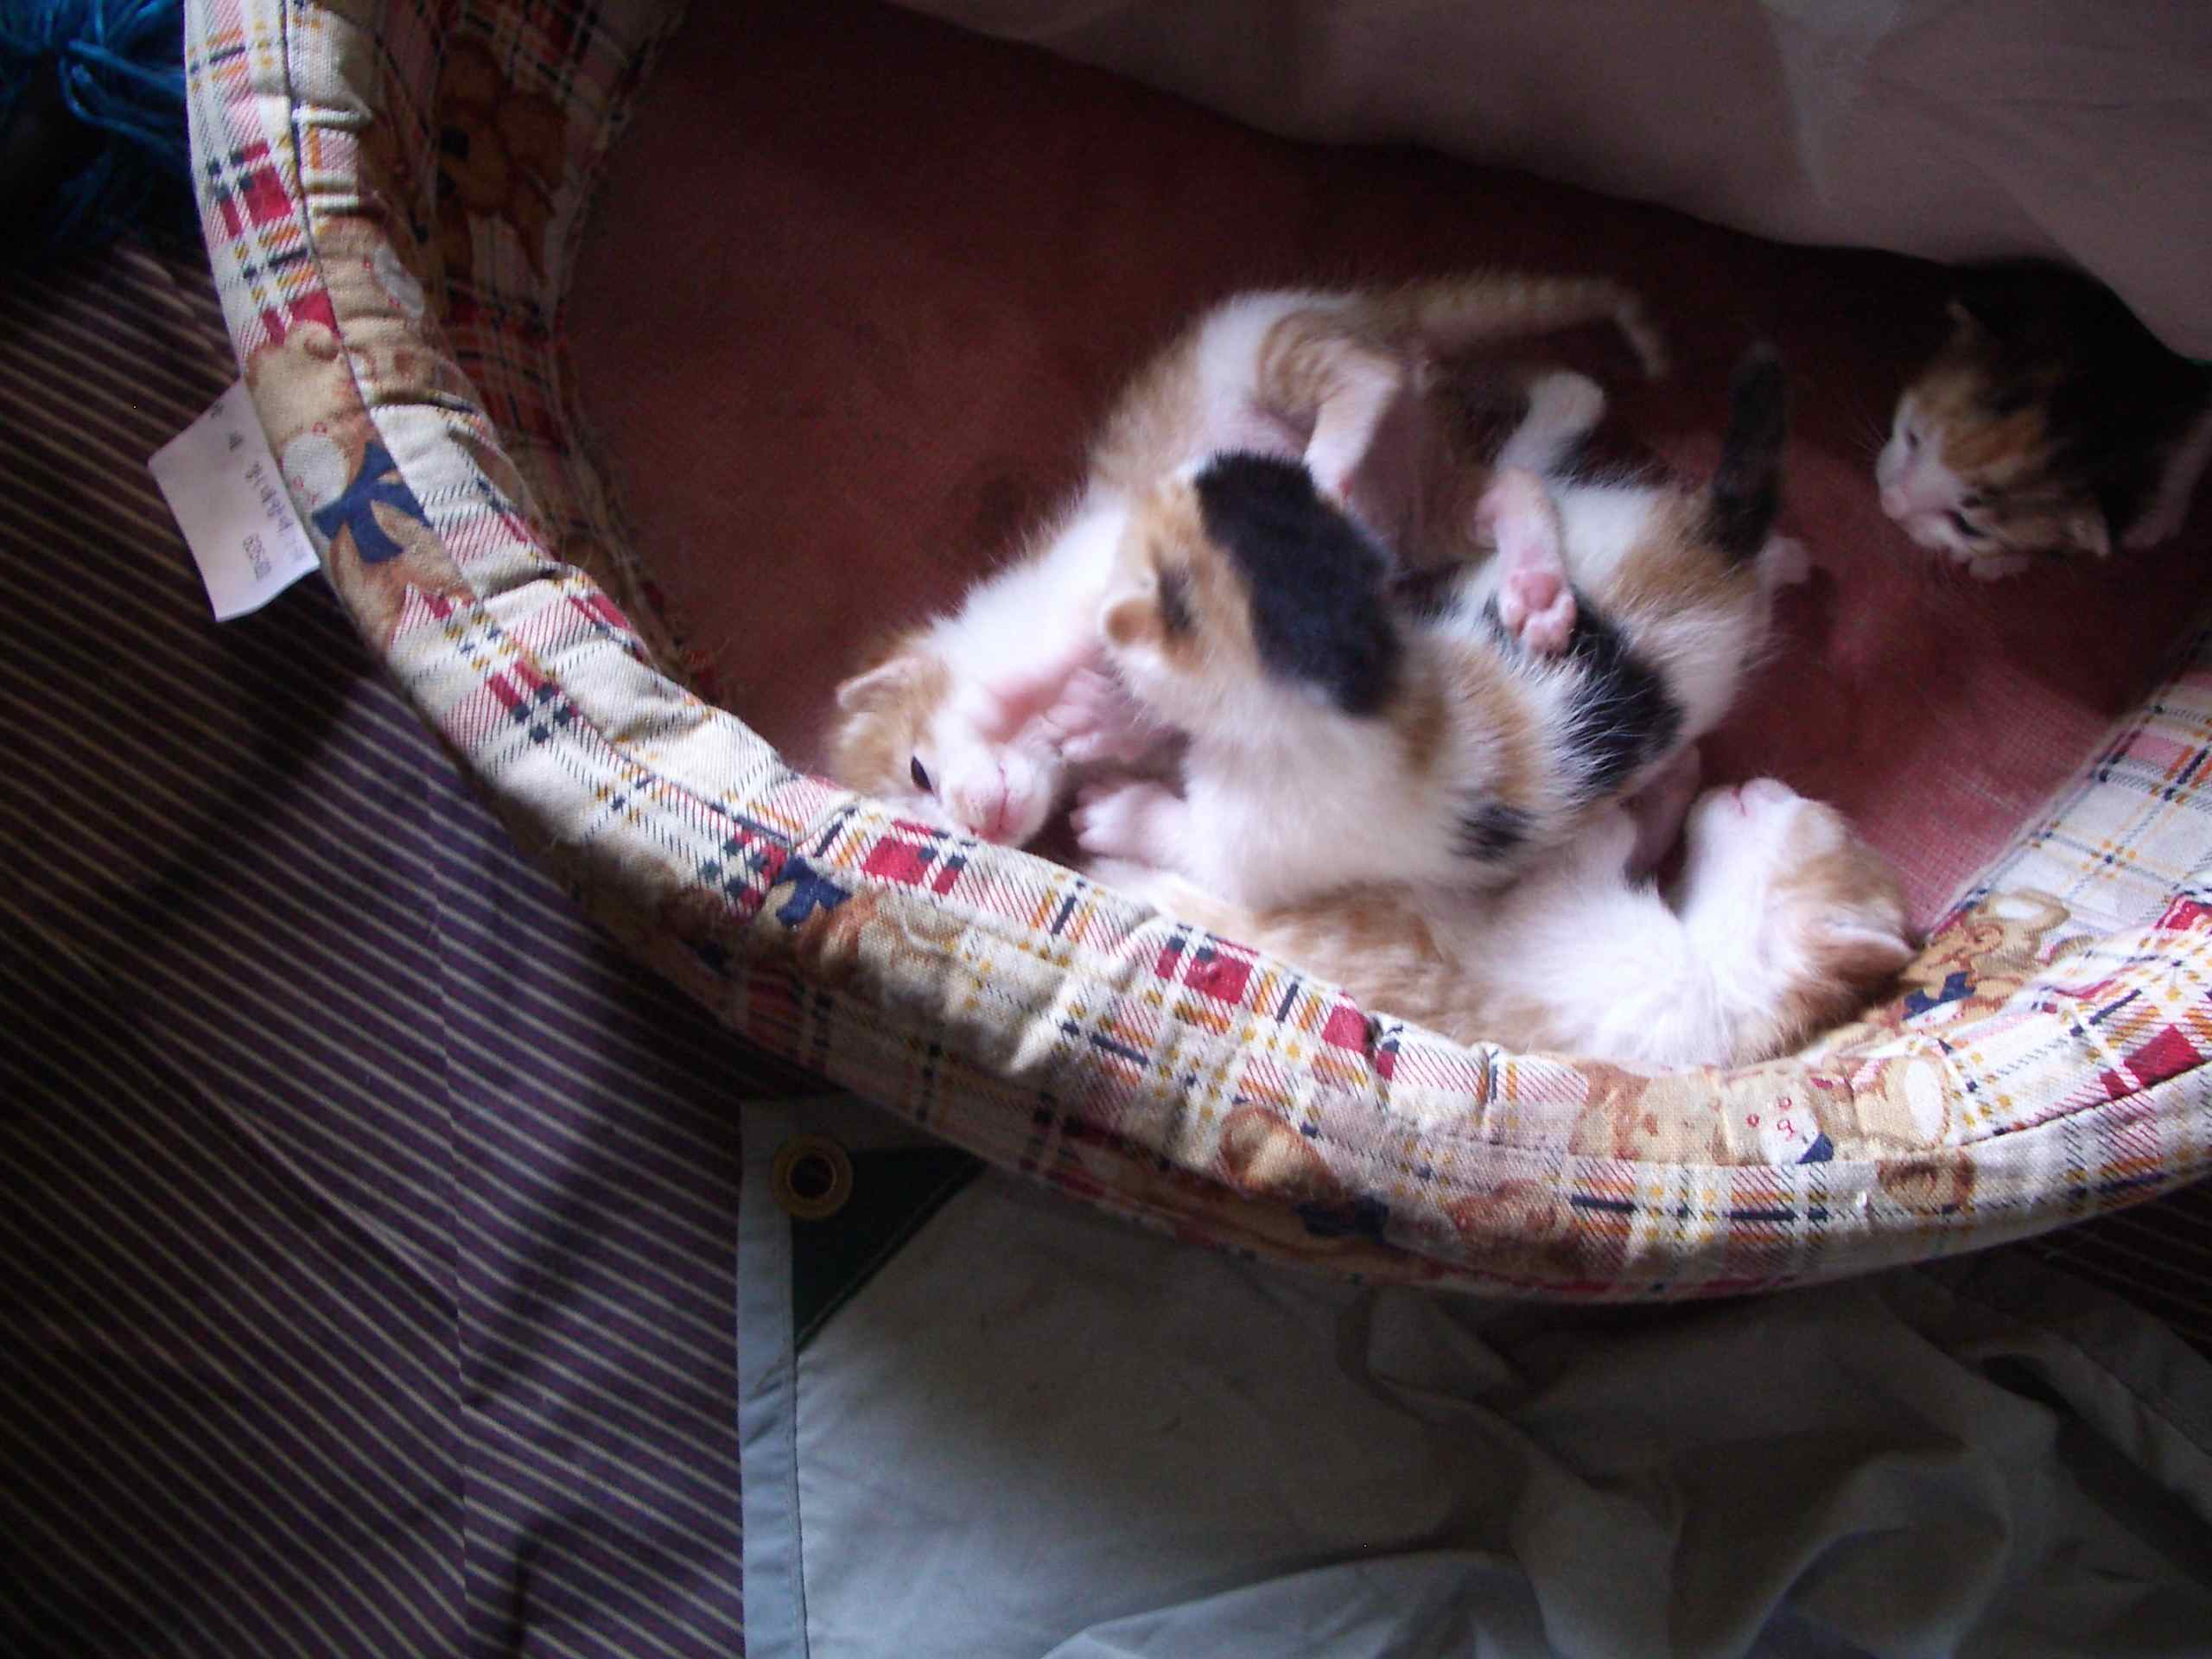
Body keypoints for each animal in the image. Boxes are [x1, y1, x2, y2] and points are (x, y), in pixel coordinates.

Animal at [826, 272, 1666, 845]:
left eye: (919, 771)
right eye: (925, 811)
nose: (979, 830)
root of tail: (1363, 308)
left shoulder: (1113, 547)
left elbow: (1058, 639)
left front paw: (1008, 696)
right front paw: (1103, 717)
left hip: (1264, 351)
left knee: (1364, 376)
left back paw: (1327, 463)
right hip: (1424, 508)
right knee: (1509, 484)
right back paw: (1536, 587)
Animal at [1070, 349, 1803, 912]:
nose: (1168, 471)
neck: (1380, 689)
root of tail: (1714, 540)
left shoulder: (1256, 844)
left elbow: (1179, 833)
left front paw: (1114, 809)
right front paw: (1102, 721)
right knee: (1522, 476)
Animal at [1090, 778, 1914, 1068]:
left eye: (1808, 811)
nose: (1767, 779)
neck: (1724, 992)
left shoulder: (1567, 921)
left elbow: (1598, 841)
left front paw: (1640, 800)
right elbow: (1628, 837)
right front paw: (1670, 790)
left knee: (1205, 848)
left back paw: (1116, 823)